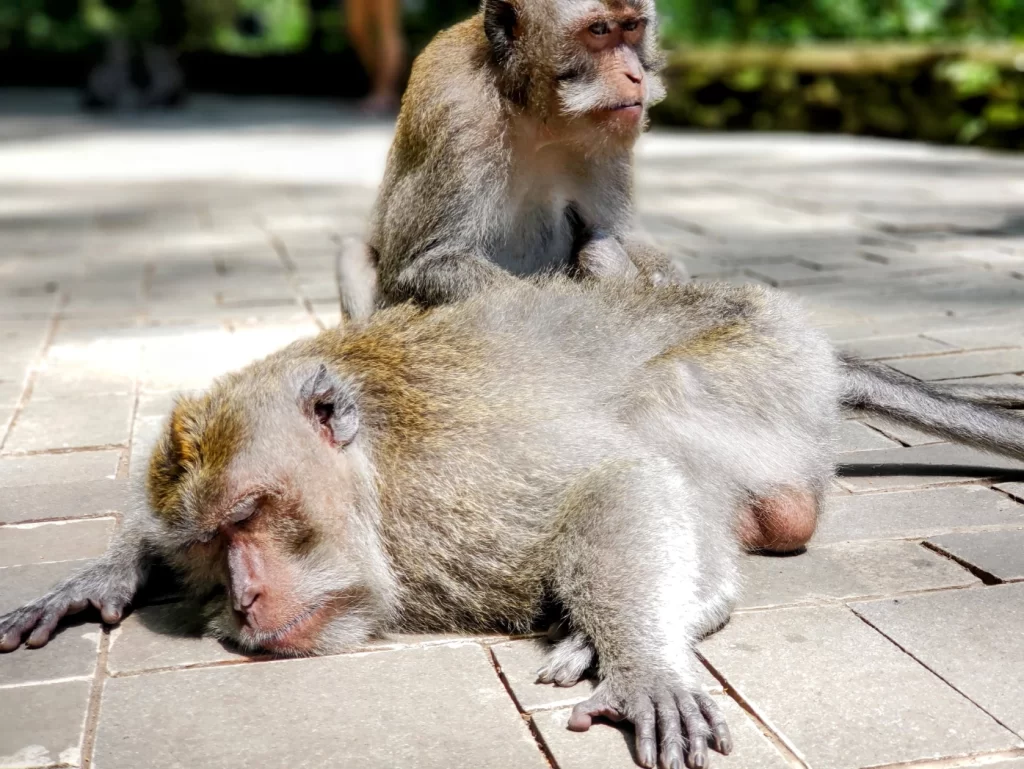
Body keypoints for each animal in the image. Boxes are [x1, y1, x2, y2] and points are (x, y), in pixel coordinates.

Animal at [3, 277, 1024, 769]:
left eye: (251, 514)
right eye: (212, 545)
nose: (247, 598)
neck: (378, 472)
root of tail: (809, 340)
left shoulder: (456, 483)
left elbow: (618, 479)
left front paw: (645, 664)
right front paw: (101, 573)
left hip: (762, 372)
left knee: (657, 421)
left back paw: (655, 618)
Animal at [336, 0, 687, 320]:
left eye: (632, 26)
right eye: (599, 30)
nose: (635, 76)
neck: (529, 111)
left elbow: (623, 234)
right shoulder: (458, 117)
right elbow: (426, 264)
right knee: (352, 255)